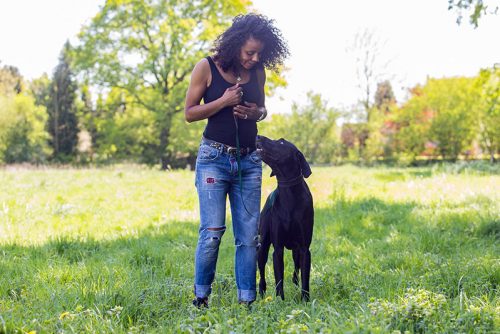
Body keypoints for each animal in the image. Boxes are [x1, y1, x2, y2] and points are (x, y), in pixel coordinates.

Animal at [256, 134, 314, 302]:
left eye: (281, 142)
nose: (258, 135)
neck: (289, 193)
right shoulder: (278, 249)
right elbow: (278, 278)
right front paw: (280, 300)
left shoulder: (304, 248)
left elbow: (305, 278)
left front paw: (305, 300)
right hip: (262, 246)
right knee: (261, 272)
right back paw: (261, 293)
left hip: (296, 250)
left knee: (296, 269)